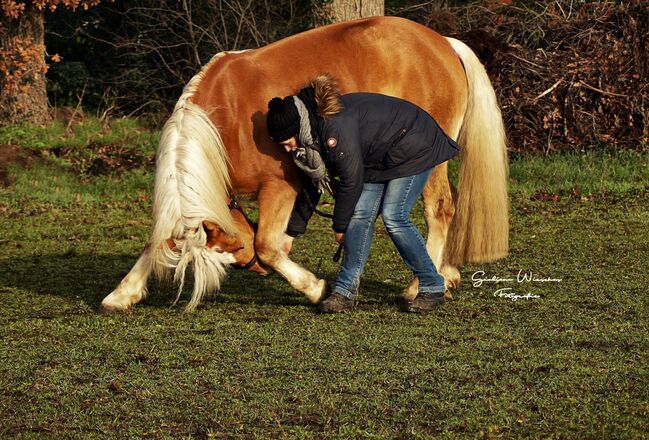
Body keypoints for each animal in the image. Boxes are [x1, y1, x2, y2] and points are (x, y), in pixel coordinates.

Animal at [98, 16, 508, 312]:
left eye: (232, 258)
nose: (255, 270)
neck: (224, 119)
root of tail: (444, 43)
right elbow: (157, 240)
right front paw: (122, 293)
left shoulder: (281, 185)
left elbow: (267, 243)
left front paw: (314, 288)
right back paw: (446, 275)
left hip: (425, 161)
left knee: (439, 209)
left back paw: (419, 288)